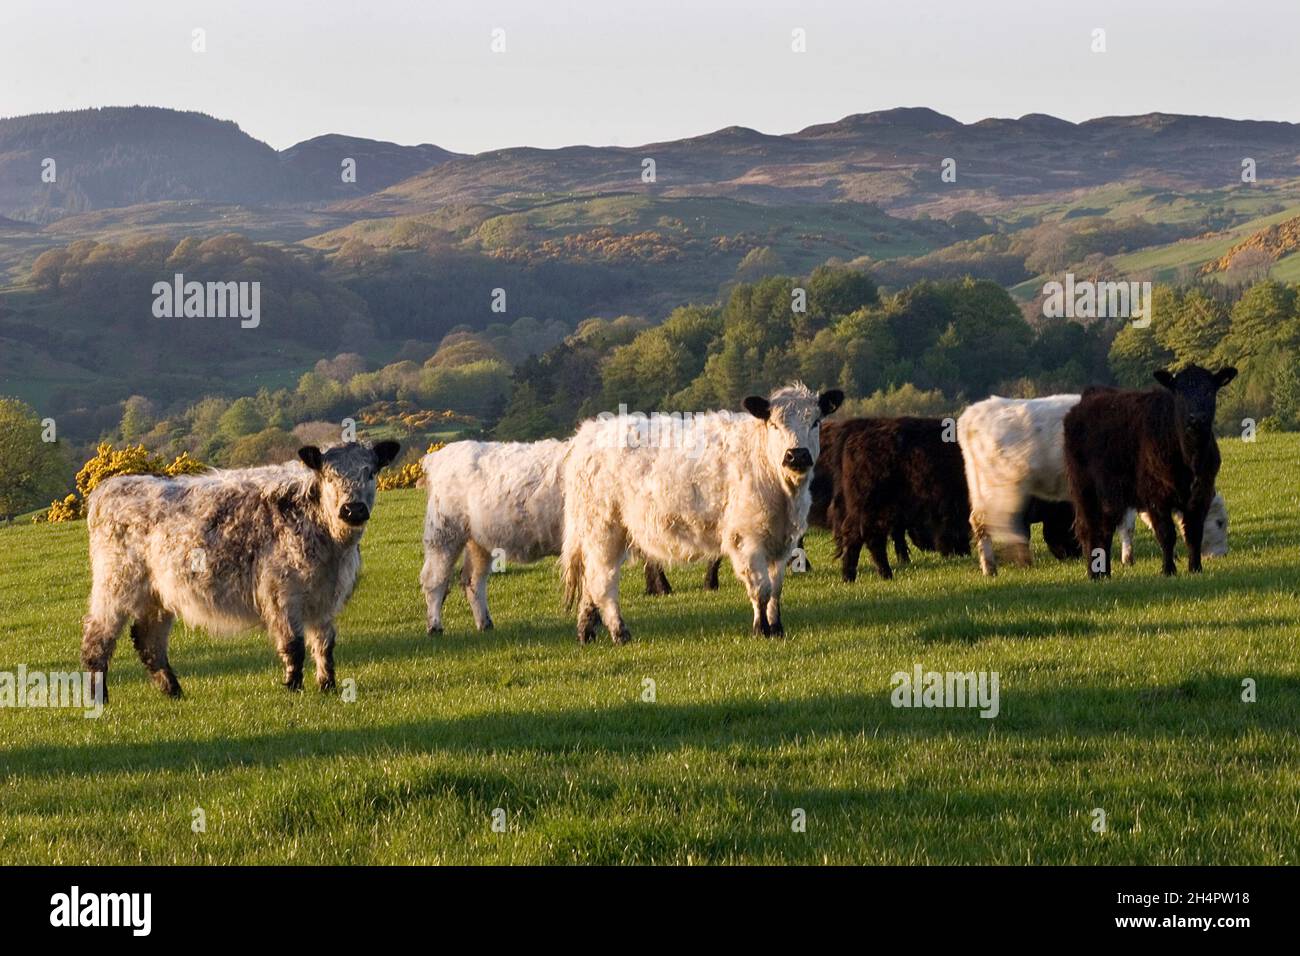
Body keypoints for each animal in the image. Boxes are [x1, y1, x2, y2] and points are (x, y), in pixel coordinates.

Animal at [81, 442, 400, 702]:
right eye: (330, 476)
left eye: (371, 473)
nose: (353, 509)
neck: (332, 548)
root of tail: (111, 486)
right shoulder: (281, 592)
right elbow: (294, 644)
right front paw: (293, 686)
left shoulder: (325, 600)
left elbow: (324, 644)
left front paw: (328, 686)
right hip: (115, 584)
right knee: (97, 637)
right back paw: (99, 697)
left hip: (159, 594)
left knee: (149, 641)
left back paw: (174, 691)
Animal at [559, 382, 842, 642]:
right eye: (774, 424)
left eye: (816, 422)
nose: (797, 455)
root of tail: (588, 433)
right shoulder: (747, 539)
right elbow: (760, 589)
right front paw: (761, 630)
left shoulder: (782, 541)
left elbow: (776, 589)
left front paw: (777, 628)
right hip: (604, 529)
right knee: (602, 582)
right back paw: (620, 633)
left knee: (590, 583)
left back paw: (586, 632)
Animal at [826, 416, 972, 580]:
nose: (964, 552)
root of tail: (857, 428)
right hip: (868, 506)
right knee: (859, 535)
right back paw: (852, 577)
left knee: (873, 537)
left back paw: (883, 574)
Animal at [956, 395, 1227, 574]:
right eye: (1220, 522)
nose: (1221, 555)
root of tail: (972, 415)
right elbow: (1127, 526)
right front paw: (1126, 558)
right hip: (1000, 491)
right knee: (997, 524)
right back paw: (1002, 564)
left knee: (980, 522)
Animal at [1060, 364, 1232, 574]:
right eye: (1180, 392)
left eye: (1209, 390)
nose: (1196, 418)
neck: (1190, 459)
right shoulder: (1155, 495)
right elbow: (1166, 534)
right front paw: (1168, 570)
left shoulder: (1201, 494)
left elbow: (1194, 533)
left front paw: (1195, 568)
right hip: (1084, 490)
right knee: (1088, 530)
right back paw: (1095, 574)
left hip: (1110, 497)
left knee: (1105, 530)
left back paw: (1105, 573)